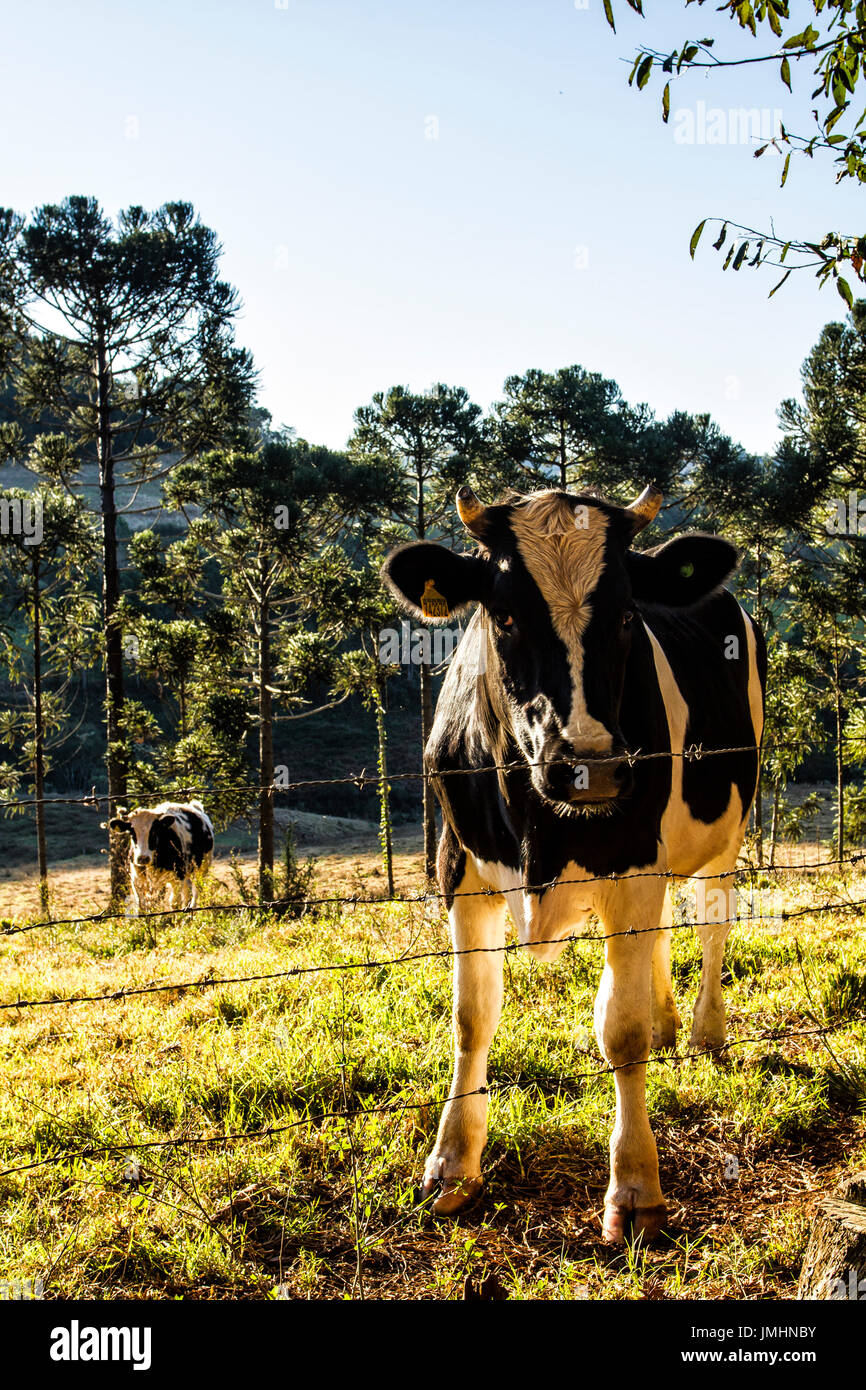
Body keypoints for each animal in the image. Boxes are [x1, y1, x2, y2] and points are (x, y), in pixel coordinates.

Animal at [383, 483, 767, 1245]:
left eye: (624, 614)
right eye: (502, 614)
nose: (587, 762)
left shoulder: (633, 861)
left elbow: (619, 1030)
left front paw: (637, 1190)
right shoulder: (458, 868)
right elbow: (471, 1018)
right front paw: (451, 1164)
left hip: (729, 826)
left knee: (712, 923)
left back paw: (704, 1032)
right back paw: (671, 1022)